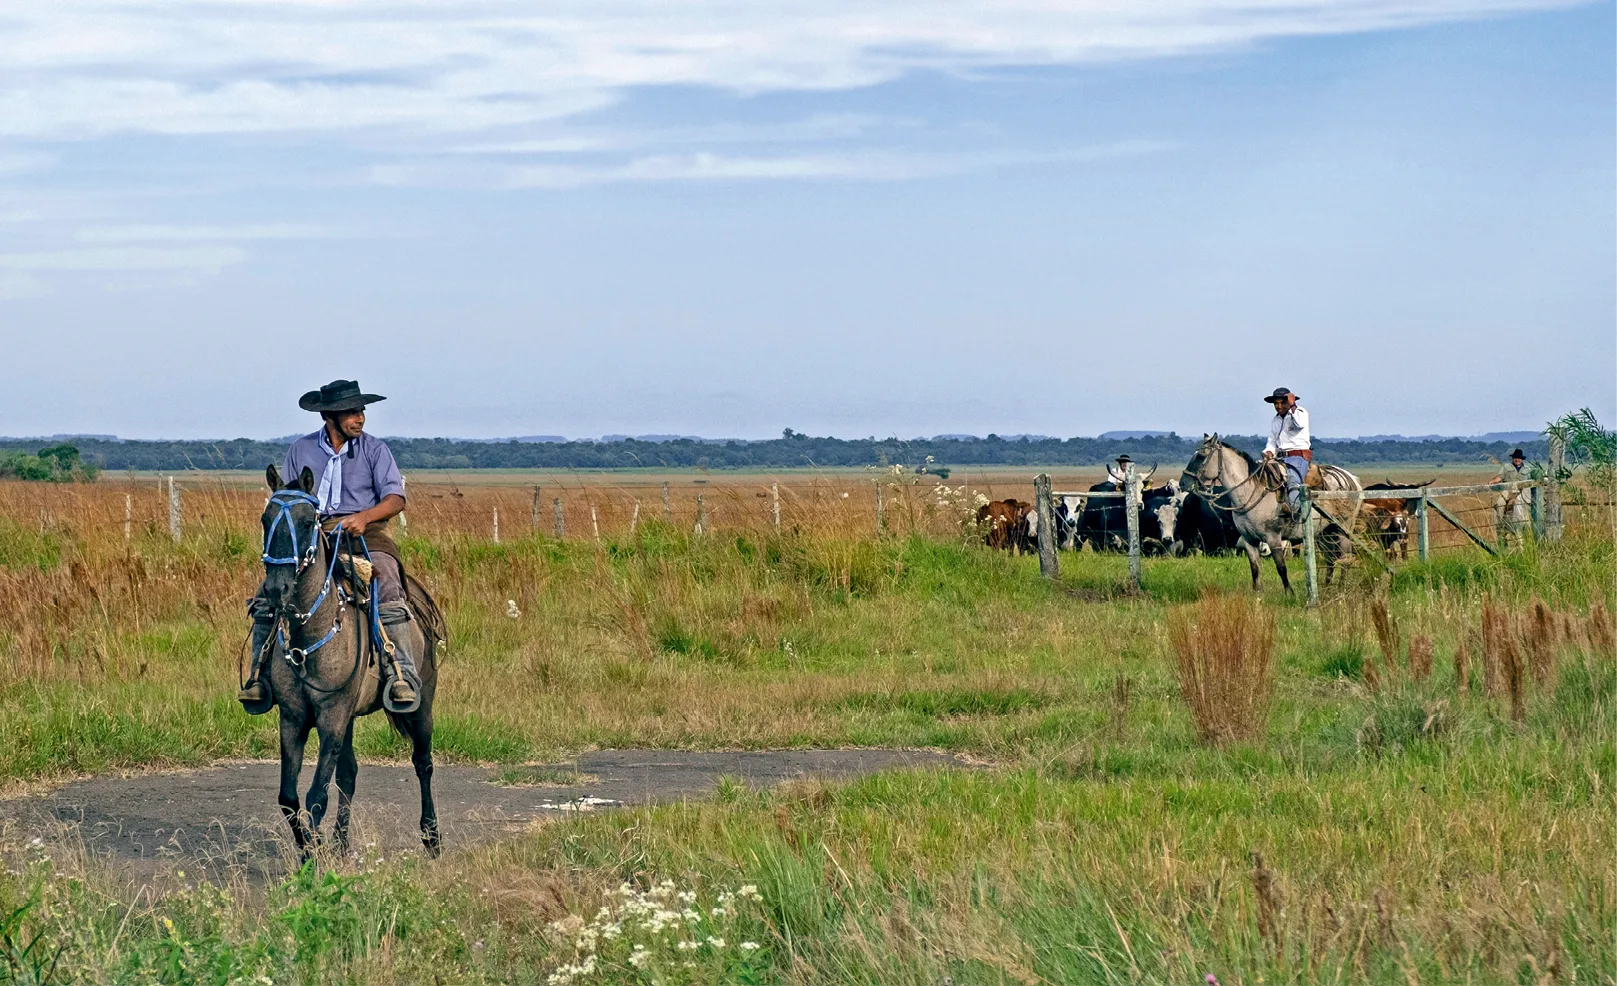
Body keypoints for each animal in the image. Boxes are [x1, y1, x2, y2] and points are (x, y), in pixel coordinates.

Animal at [261, 465, 446, 853]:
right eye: (265, 519)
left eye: (307, 522)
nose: (276, 589)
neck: (309, 637)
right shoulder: (294, 718)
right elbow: (289, 798)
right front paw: (310, 849)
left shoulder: (332, 716)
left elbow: (316, 796)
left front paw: (314, 857)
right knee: (349, 774)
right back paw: (341, 842)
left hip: (422, 704)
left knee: (423, 763)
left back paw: (431, 837)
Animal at [1177, 436, 1364, 591]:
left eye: (1201, 456)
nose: (1182, 483)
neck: (1251, 491)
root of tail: (1352, 479)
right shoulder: (1249, 540)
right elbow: (1255, 569)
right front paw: (1257, 595)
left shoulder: (1273, 538)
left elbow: (1281, 567)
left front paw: (1290, 593)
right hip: (1325, 532)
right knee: (1330, 559)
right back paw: (1326, 587)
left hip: (1342, 530)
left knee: (1345, 558)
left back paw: (1341, 589)